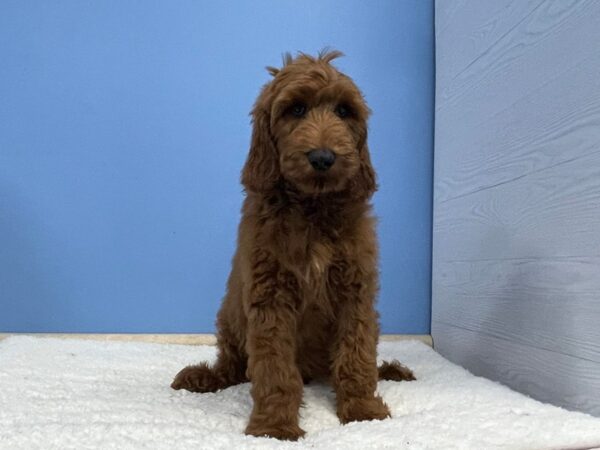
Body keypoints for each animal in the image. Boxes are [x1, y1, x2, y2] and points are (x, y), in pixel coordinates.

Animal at [170, 49, 412, 440]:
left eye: (344, 111)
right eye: (296, 110)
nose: (323, 157)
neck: (312, 207)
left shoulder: (355, 292)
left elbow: (357, 356)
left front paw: (363, 411)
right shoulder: (271, 297)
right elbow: (275, 369)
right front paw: (274, 426)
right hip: (229, 318)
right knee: (234, 368)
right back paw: (203, 376)